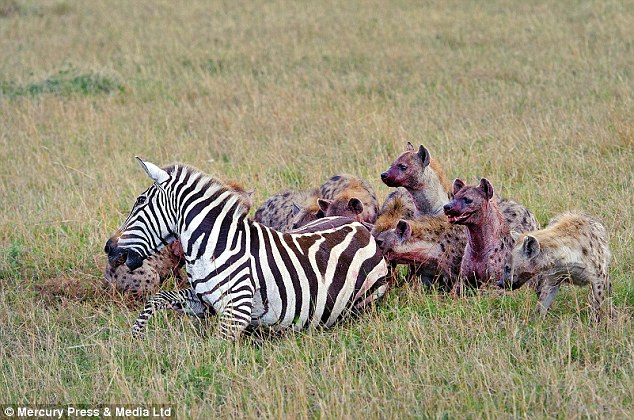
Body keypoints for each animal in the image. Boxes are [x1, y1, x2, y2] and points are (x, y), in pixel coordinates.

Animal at [105, 159, 386, 340]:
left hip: (364, 301)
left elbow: (213, 349)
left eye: (140, 201)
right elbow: (159, 297)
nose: (109, 248)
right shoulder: (203, 301)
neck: (214, 247)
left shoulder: (236, 312)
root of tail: (360, 227)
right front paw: (136, 338)